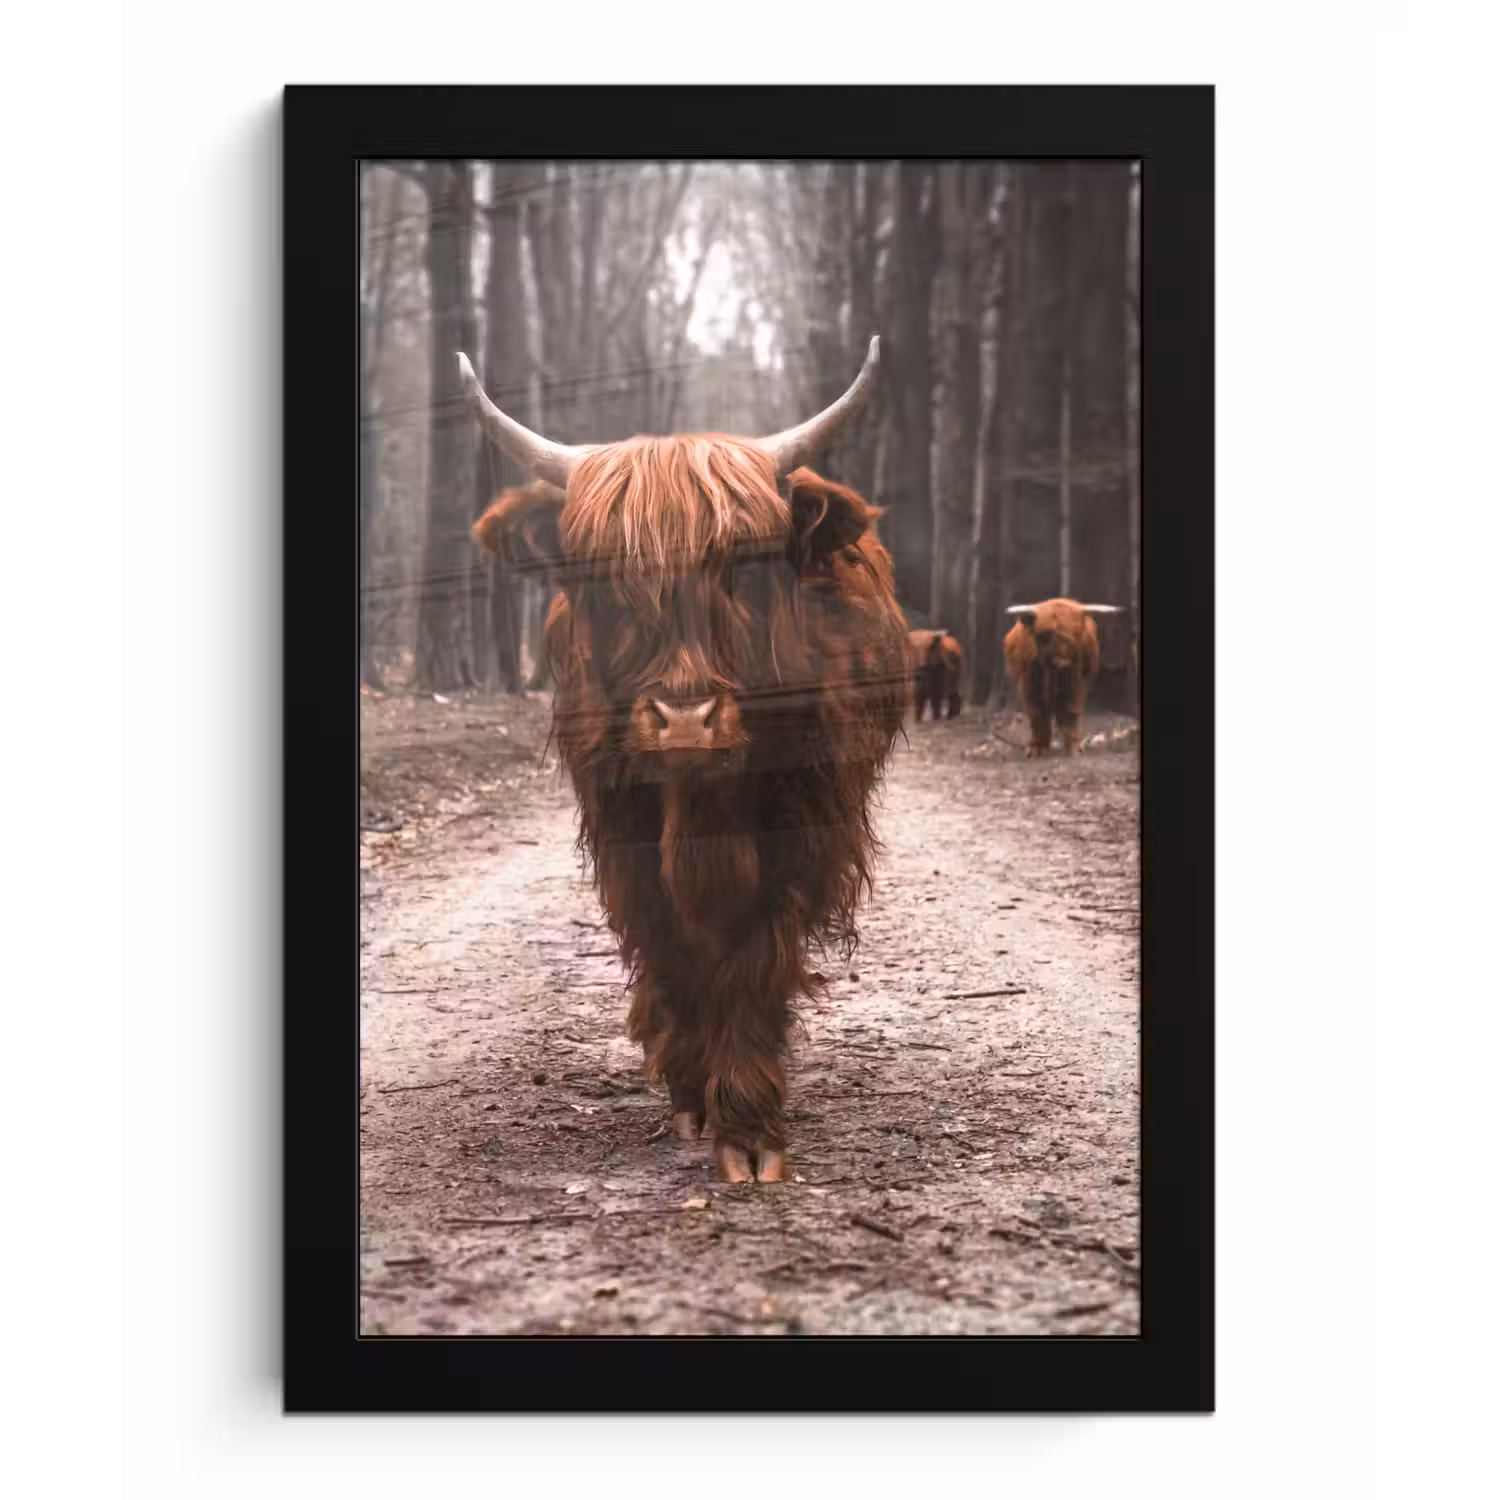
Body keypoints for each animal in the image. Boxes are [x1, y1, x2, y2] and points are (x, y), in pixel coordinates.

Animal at [460, 337, 910, 1184]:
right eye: (603, 575)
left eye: (744, 565)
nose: (684, 721)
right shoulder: (621, 830)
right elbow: (670, 943)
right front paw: (693, 1093)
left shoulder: (802, 830)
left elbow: (754, 955)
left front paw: (750, 1127)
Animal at [1002, 598, 1122, 756]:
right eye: (1043, 635)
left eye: (1077, 634)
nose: (1063, 662)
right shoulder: (1029, 681)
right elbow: (1037, 712)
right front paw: (1036, 747)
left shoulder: (1075, 680)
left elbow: (1070, 711)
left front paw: (1074, 747)